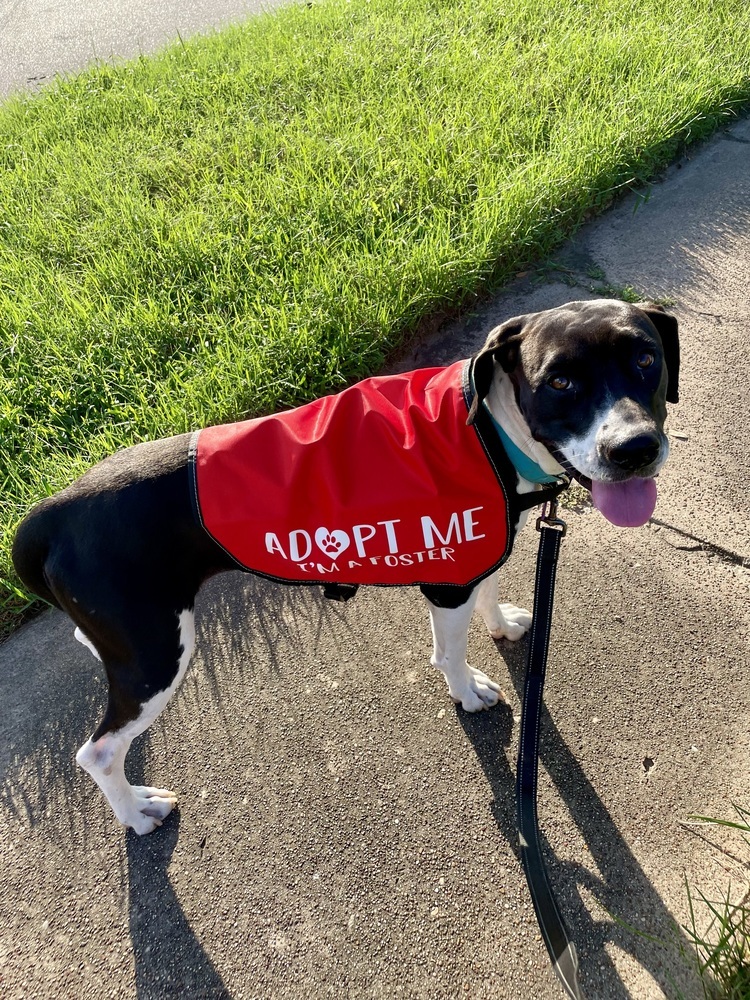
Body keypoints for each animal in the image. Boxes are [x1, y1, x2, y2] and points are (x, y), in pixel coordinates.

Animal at [11, 296, 680, 836]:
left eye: (646, 358)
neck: (490, 430)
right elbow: (450, 655)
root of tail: (50, 513)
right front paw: (467, 692)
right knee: (97, 753)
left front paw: (502, 624)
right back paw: (136, 812)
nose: (634, 448)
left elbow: (490, 591)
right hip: (157, 655)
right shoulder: (446, 579)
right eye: (560, 381)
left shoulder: (477, 548)